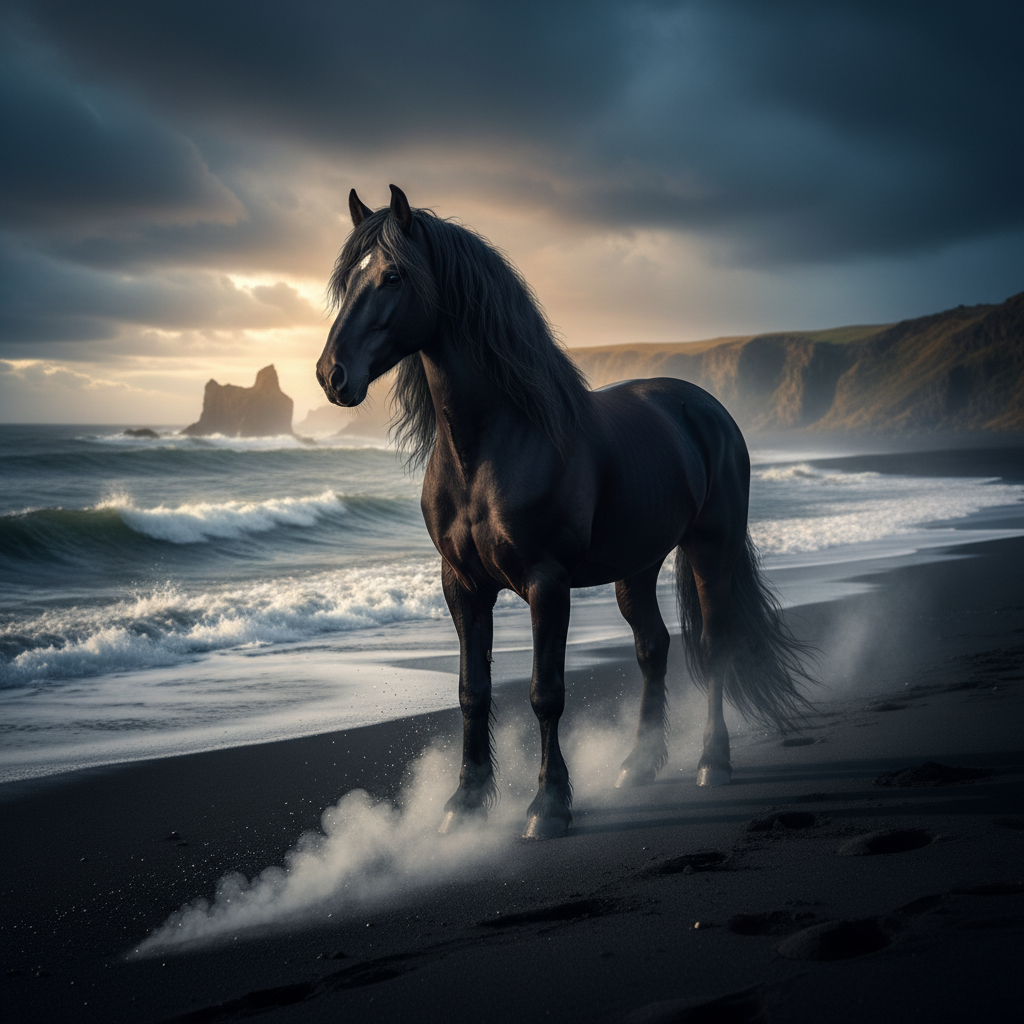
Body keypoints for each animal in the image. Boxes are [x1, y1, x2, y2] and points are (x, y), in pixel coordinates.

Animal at [316, 185, 814, 840]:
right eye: (348, 278)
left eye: (393, 275)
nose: (332, 375)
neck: (495, 443)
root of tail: (706, 408)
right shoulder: (462, 584)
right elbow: (471, 691)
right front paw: (465, 802)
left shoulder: (546, 583)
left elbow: (545, 693)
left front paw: (548, 806)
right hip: (637, 566)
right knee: (652, 647)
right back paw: (638, 765)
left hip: (712, 549)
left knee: (715, 645)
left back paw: (713, 762)